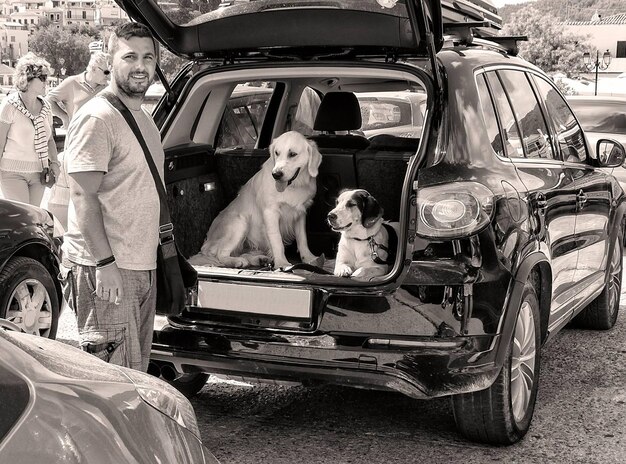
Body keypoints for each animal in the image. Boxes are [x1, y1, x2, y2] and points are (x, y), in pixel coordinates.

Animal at [190, 130, 322, 268]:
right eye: (277, 153)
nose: (276, 174)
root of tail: (206, 244)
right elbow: (277, 240)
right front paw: (282, 263)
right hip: (240, 222)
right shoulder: (270, 212)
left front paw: (309, 258)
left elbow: (302, 238)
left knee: (242, 253)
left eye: (292, 154)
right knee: (221, 254)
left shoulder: (300, 213)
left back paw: (259, 259)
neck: (293, 185)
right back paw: (237, 261)